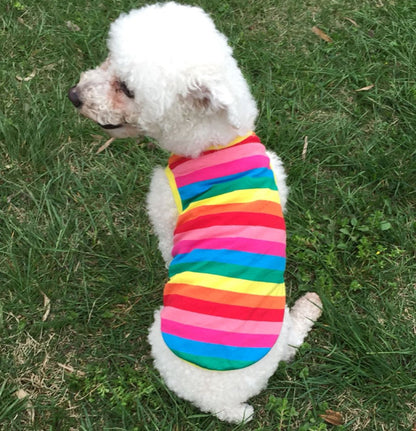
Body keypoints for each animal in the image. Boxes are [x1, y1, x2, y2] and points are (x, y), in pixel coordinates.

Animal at [69, 1, 322, 424]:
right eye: (108, 59)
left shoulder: (163, 210)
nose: (74, 95)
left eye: (128, 89)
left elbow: (166, 247)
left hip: (161, 334)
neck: (216, 142)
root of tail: (224, 404)